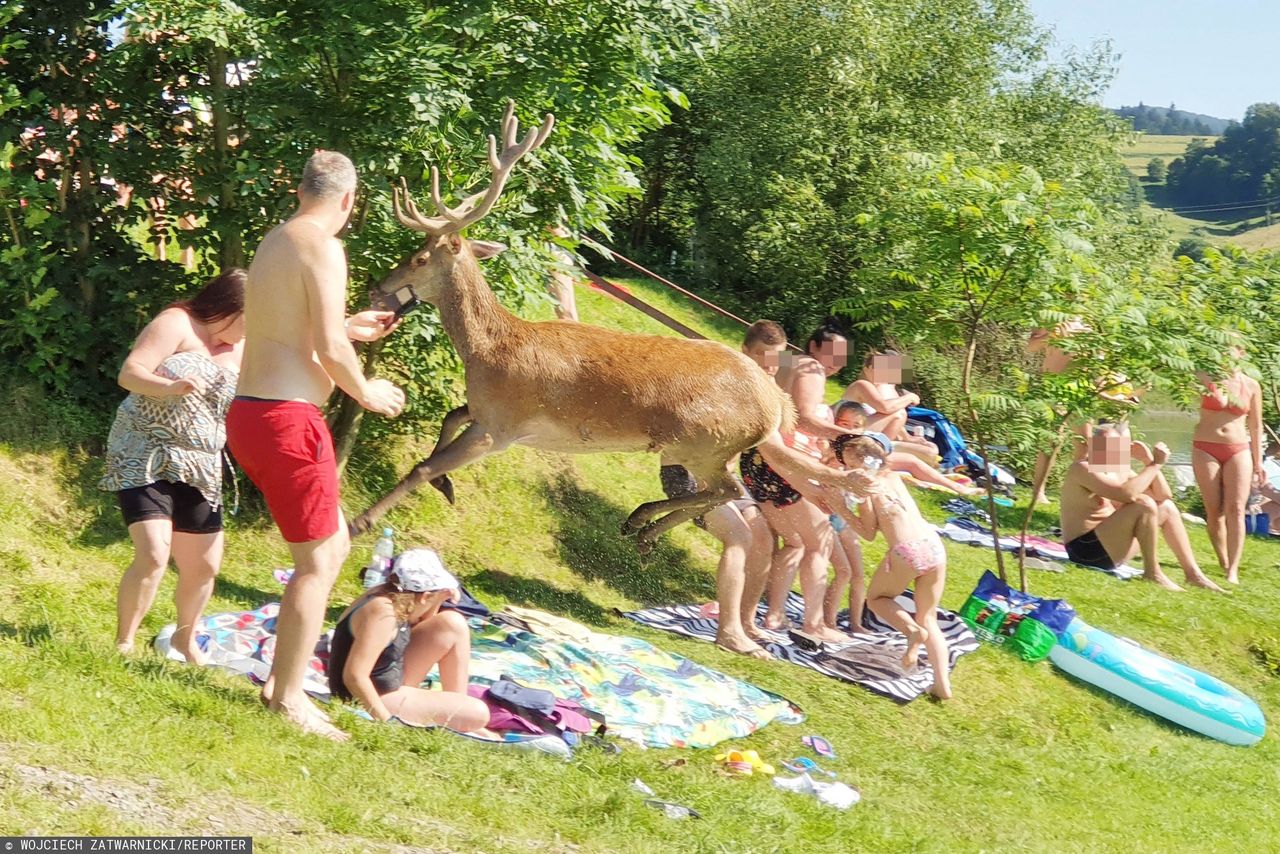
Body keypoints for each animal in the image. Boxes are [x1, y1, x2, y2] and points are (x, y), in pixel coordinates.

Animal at [350, 101, 870, 555]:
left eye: (420, 256)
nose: (377, 288)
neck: (488, 352)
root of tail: (779, 405)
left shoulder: (502, 425)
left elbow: (421, 466)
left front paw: (363, 521)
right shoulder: (487, 412)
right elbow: (450, 415)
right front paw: (447, 485)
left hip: (703, 442)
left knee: (727, 490)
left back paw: (643, 521)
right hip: (698, 449)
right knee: (722, 491)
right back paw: (641, 526)